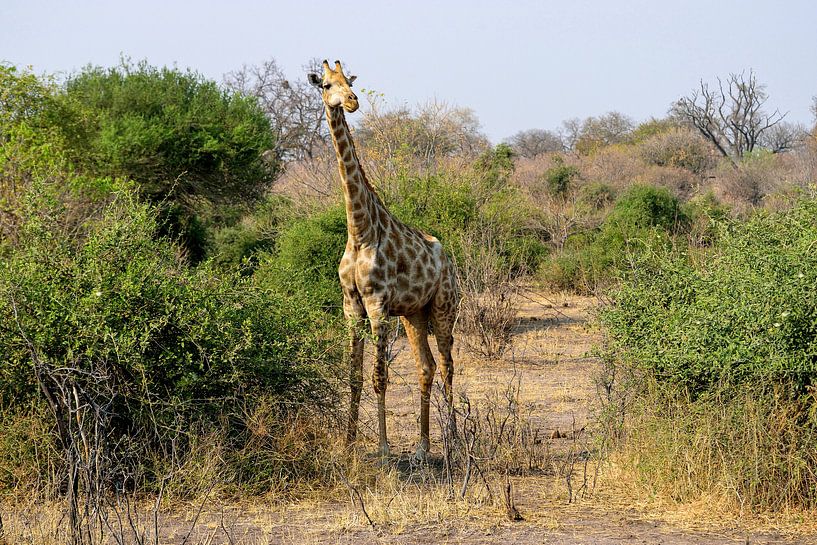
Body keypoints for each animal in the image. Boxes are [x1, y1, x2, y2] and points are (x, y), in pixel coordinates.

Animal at [308, 60, 458, 458]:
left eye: (349, 81)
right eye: (326, 84)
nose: (352, 101)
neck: (359, 231)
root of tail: (449, 260)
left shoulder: (377, 306)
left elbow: (380, 377)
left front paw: (384, 448)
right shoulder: (351, 306)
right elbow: (354, 377)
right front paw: (348, 445)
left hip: (444, 306)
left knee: (448, 365)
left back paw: (455, 443)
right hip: (413, 313)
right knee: (427, 366)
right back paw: (423, 446)